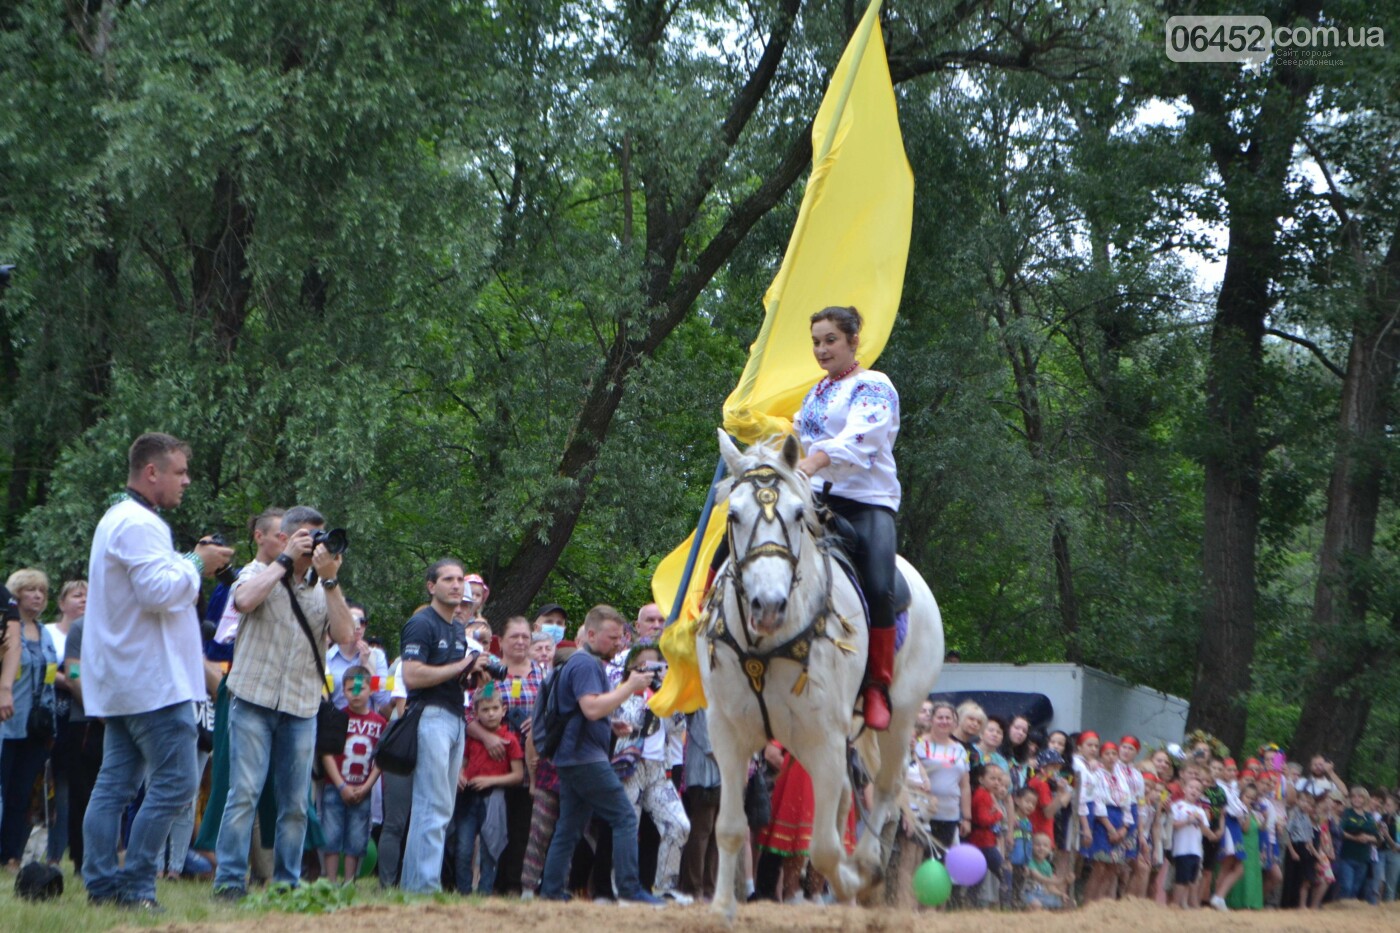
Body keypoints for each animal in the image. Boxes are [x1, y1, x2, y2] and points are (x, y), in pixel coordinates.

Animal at [700, 425, 940, 913]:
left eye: (797, 514)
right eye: (733, 514)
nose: (768, 606)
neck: (764, 646)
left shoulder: (822, 739)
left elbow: (826, 848)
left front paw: (851, 881)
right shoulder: (728, 732)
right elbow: (731, 828)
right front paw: (721, 908)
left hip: (900, 720)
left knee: (884, 791)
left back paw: (866, 870)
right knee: (853, 797)